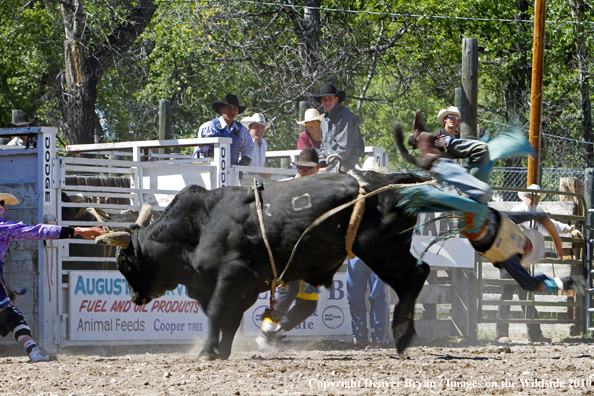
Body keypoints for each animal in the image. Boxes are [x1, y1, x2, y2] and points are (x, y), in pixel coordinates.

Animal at [97, 172, 430, 360]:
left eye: (125, 264)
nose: (134, 298)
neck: (198, 226)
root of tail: (388, 181)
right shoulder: (240, 287)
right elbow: (228, 319)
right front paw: (223, 351)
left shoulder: (235, 276)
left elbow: (217, 312)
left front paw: (207, 351)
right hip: (384, 252)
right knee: (415, 276)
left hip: (382, 251)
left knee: (417, 274)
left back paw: (401, 333)